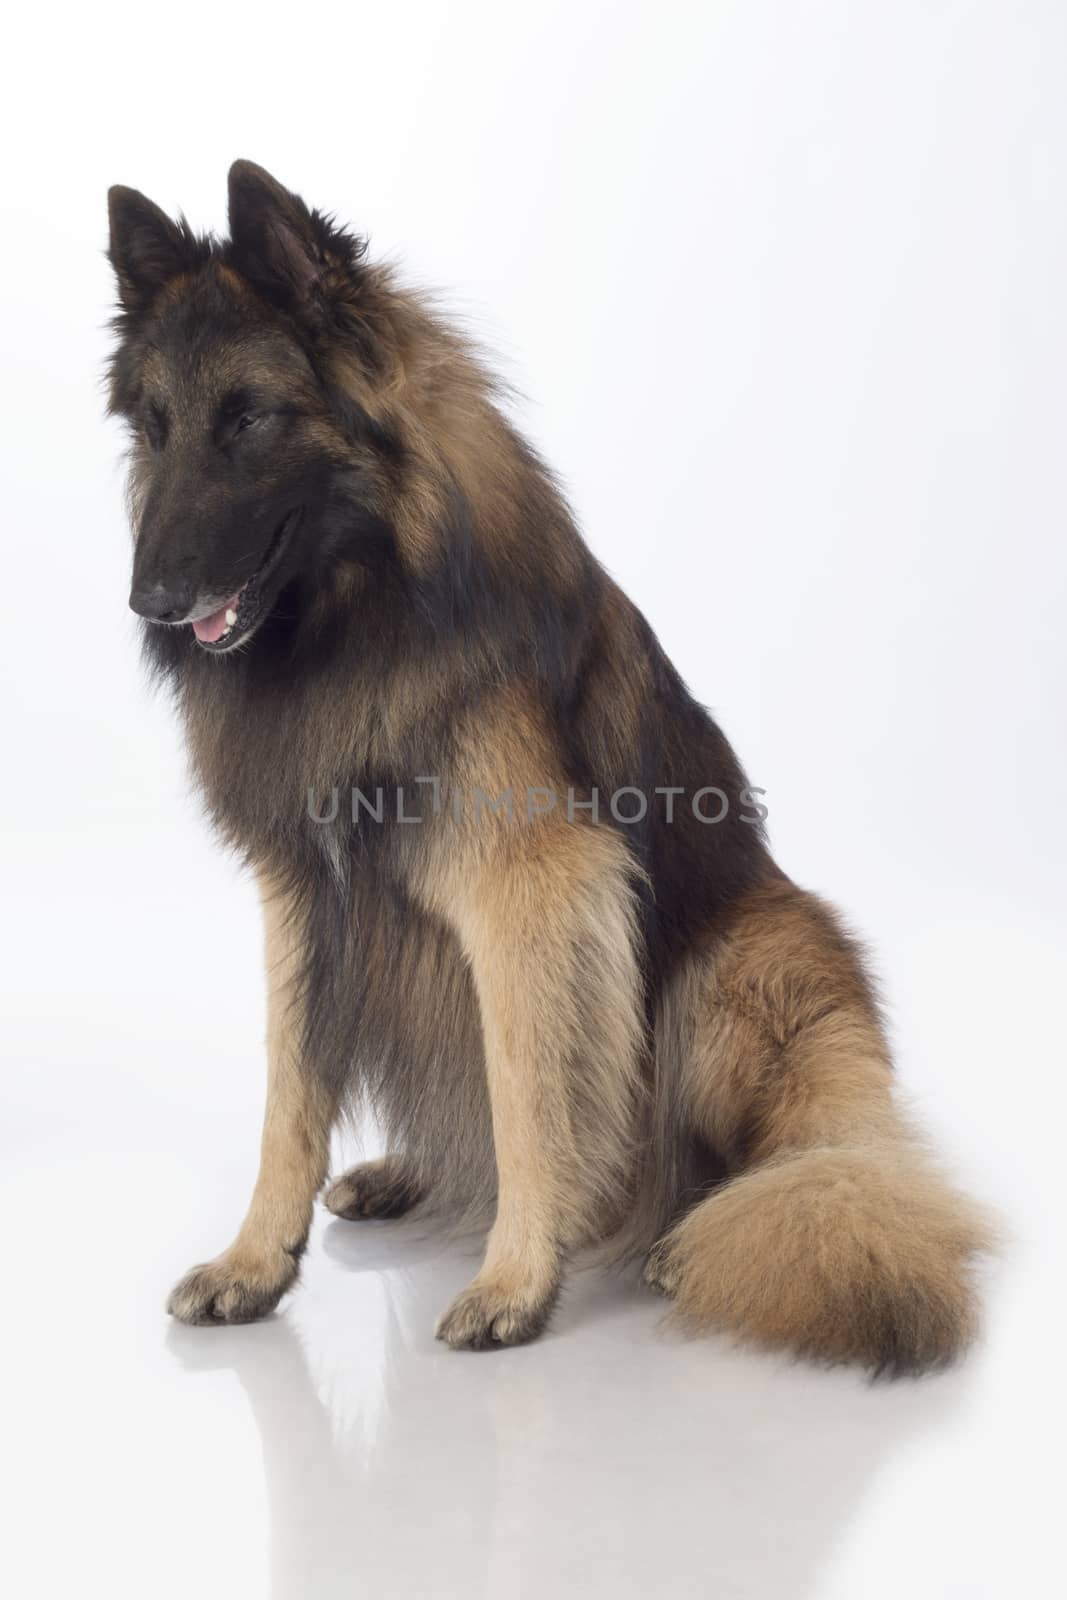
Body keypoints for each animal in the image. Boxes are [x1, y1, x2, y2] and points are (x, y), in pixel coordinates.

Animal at [103, 165, 991, 1376]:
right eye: (155, 428)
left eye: (248, 419)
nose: (148, 601)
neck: (363, 611)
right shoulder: (306, 896)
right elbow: (290, 1093)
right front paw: (255, 1262)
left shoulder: (535, 889)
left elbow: (530, 1095)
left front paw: (516, 1282)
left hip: (745, 968)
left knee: (785, 1166)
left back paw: (693, 1234)